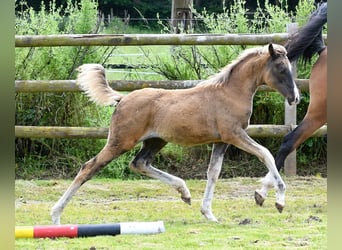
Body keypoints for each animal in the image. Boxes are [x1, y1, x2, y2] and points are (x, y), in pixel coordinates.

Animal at [50, 43, 300, 225]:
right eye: (280, 68)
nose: (295, 97)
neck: (230, 93)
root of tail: (122, 98)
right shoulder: (234, 135)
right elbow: (266, 153)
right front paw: (279, 200)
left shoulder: (221, 141)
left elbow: (213, 173)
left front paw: (208, 213)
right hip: (120, 142)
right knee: (89, 168)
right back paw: (56, 215)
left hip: (155, 141)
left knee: (139, 163)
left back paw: (184, 192)